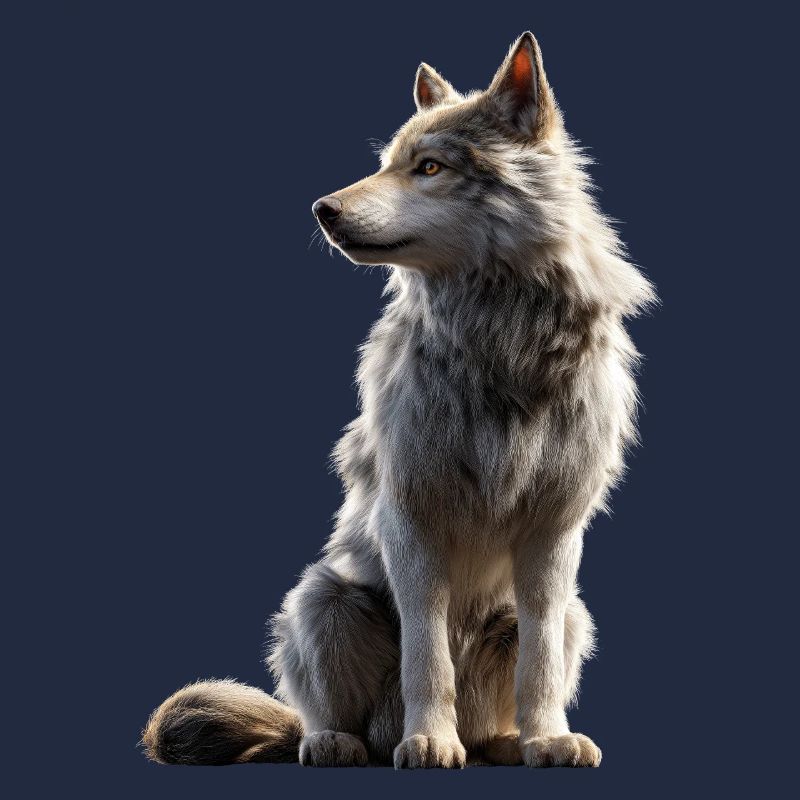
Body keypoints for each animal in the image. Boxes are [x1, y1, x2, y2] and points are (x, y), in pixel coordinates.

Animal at [142, 31, 654, 769]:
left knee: (519, 683)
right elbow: (426, 654)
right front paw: (430, 741)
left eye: (430, 167)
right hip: (323, 600)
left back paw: (504, 742)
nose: (322, 210)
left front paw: (549, 739)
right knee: (326, 714)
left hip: (574, 615)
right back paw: (341, 741)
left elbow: (540, 666)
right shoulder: (410, 521)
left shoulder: (554, 534)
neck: (499, 339)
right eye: (385, 165)